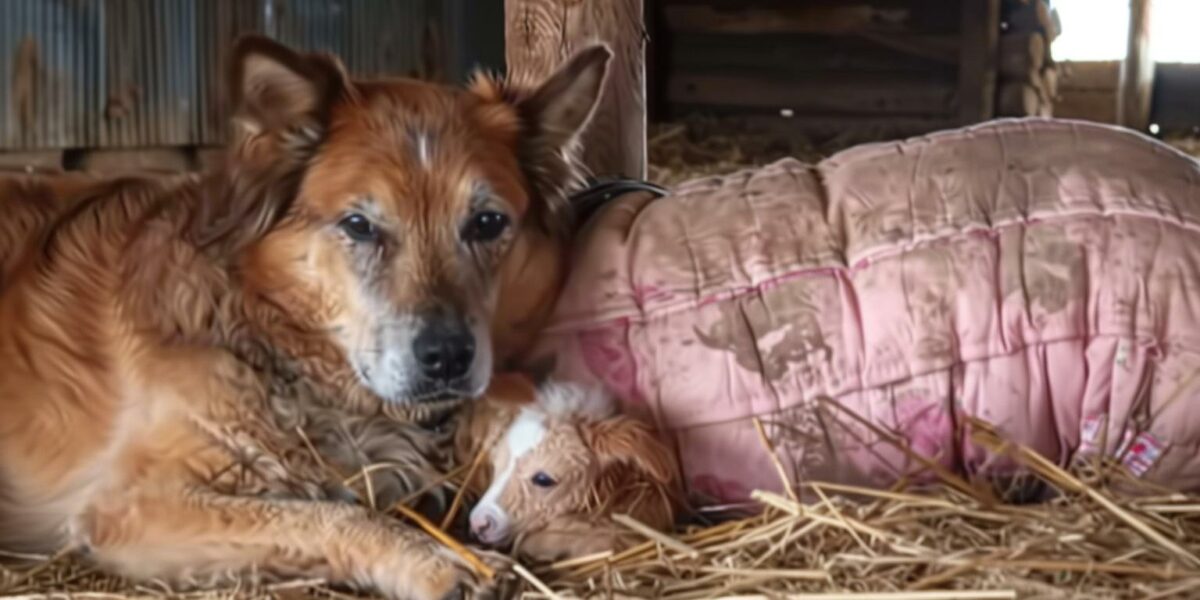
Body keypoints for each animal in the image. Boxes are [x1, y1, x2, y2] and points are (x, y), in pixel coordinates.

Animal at [0, 35, 609, 597]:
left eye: (486, 223)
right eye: (359, 225)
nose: (447, 358)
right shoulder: (132, 504)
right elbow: (331, 513)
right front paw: (442, 562)